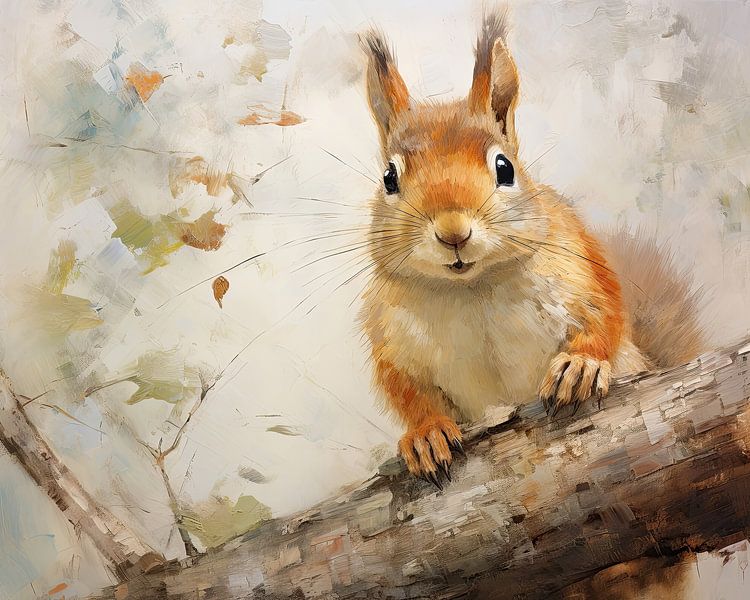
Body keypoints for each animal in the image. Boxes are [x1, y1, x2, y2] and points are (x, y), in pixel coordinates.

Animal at [358, 11, 704, 487]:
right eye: (389, 179)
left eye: (505, 168)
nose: (453, 232)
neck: (473, 287)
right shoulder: (391, 337)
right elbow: (406, 390)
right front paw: (425, 433)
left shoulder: (583, 266)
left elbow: (608, 317)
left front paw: (580, 366)